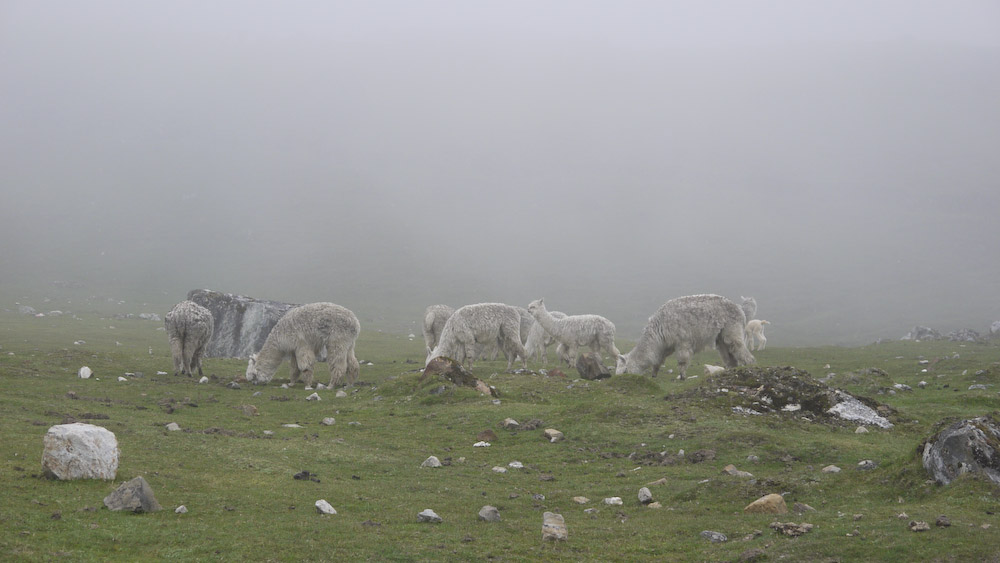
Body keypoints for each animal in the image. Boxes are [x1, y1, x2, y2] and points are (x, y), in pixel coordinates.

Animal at [616, 294, 755, 379]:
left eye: (625, 371)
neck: (659, 328)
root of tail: (740, 310)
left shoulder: (682, 341)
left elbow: (682, 360)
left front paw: (682, 376)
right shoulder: (666, 345)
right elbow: (658, 360)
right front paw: (654, 375)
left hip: (732, 330)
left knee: (740, 349)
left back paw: (750, 365)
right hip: (721, 338)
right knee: (729, 355)